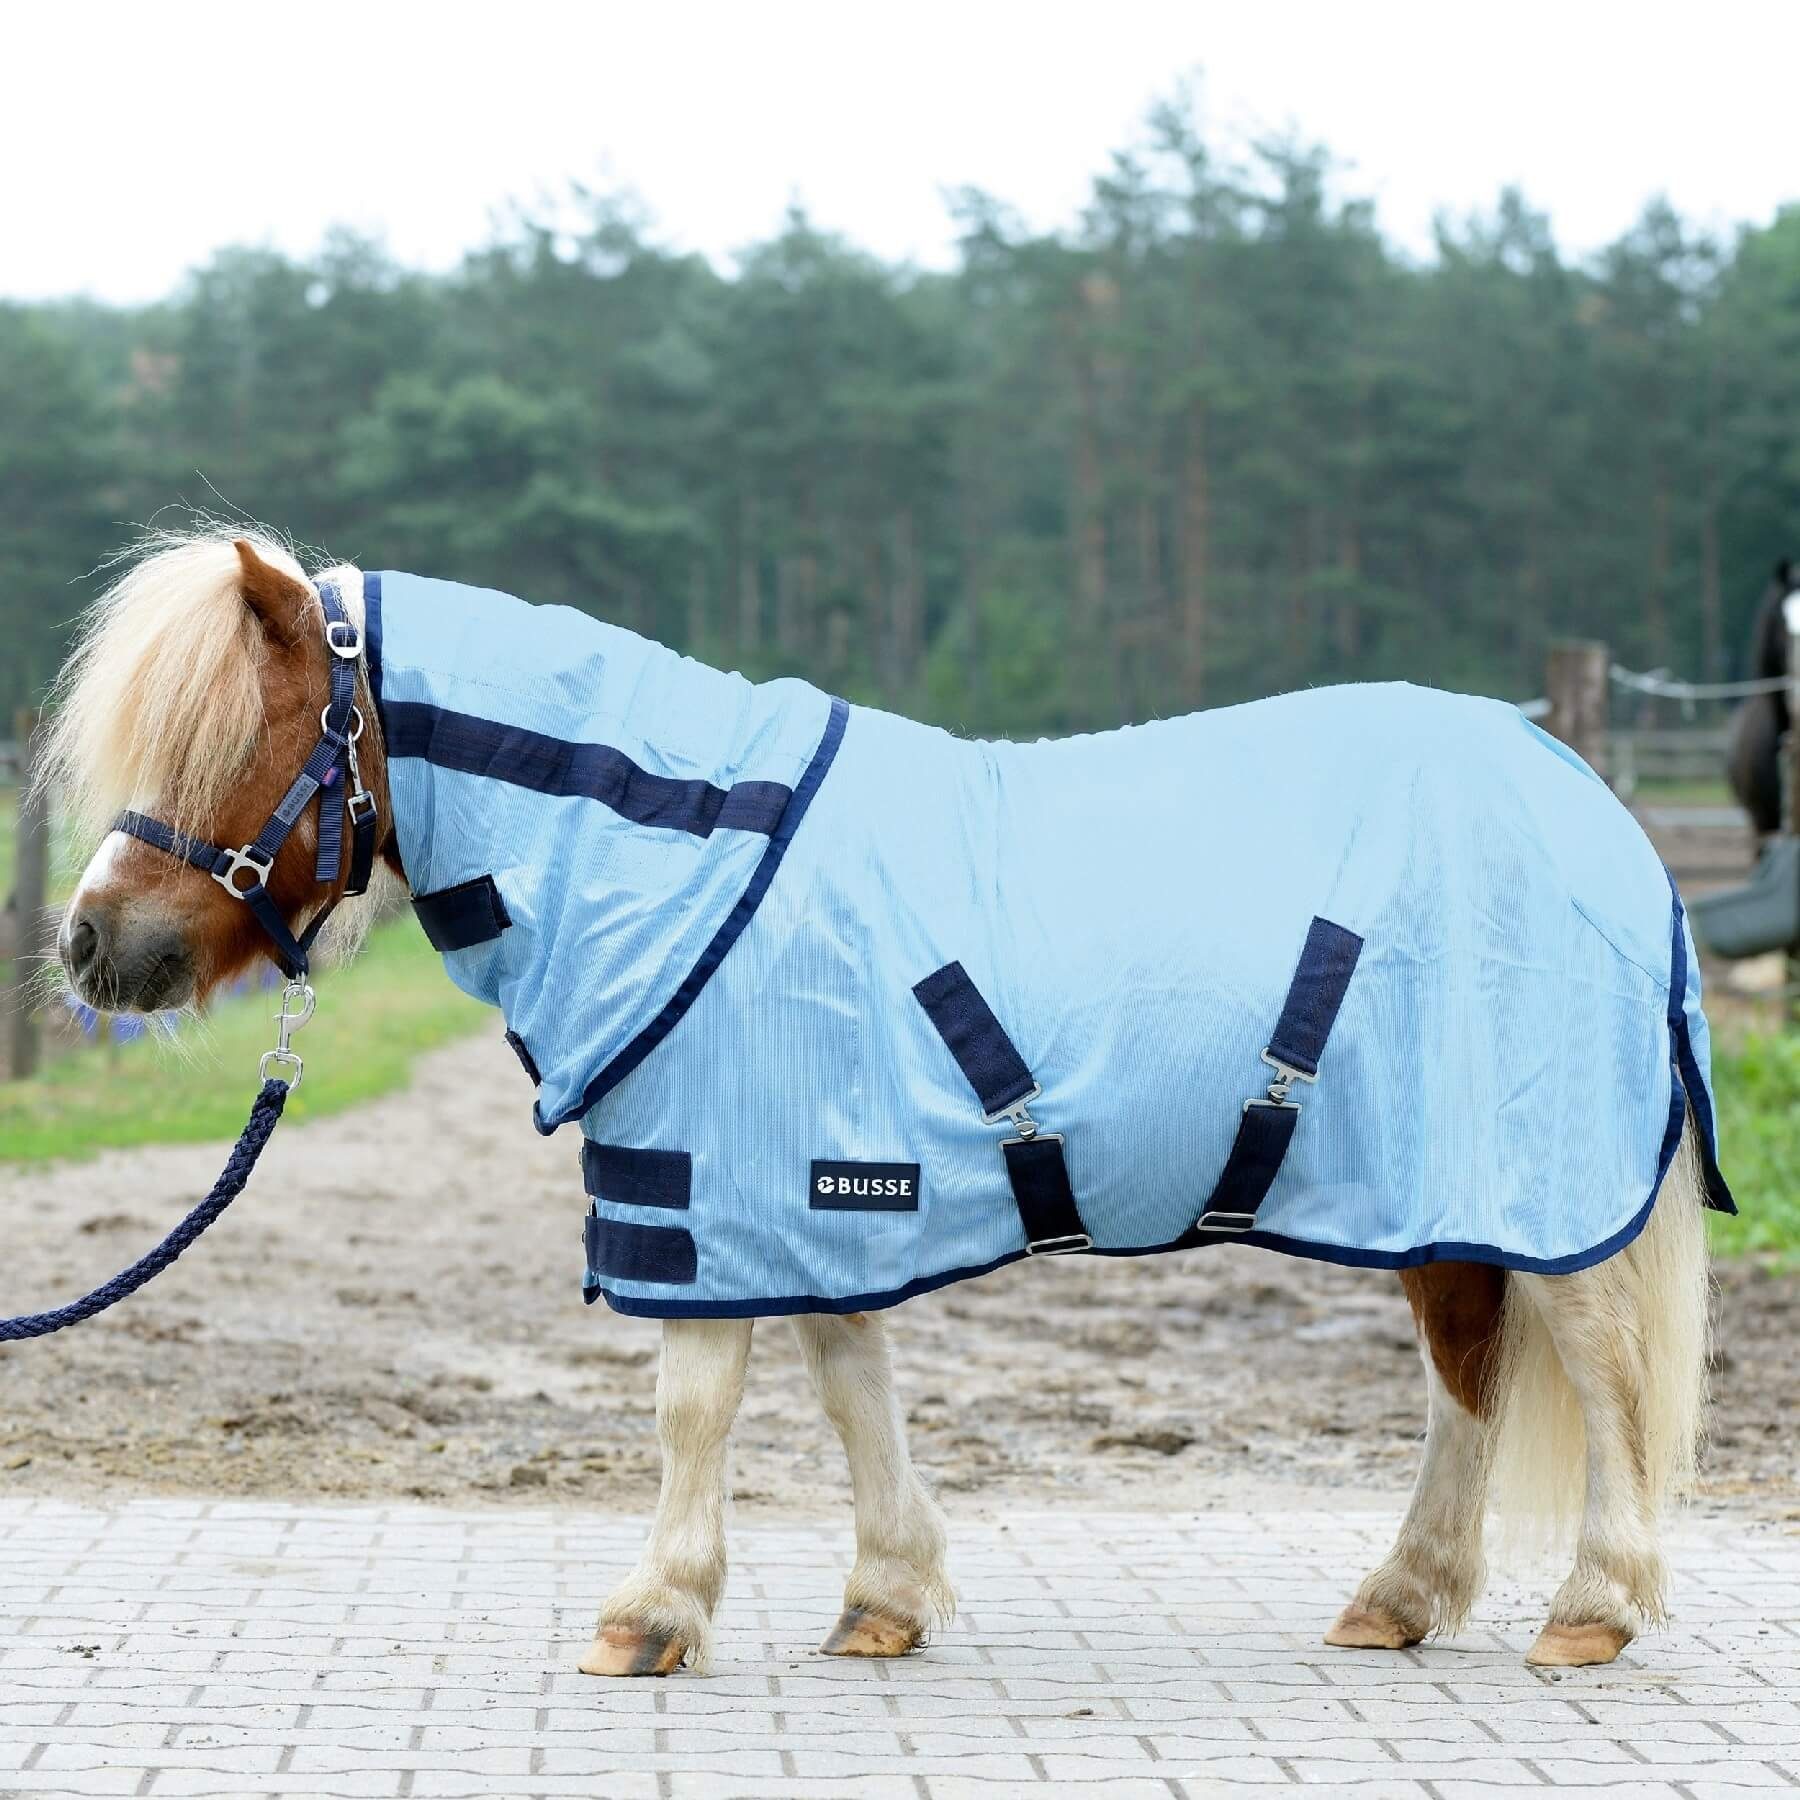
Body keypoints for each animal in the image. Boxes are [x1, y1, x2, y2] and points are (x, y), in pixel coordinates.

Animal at [41, 527, 1729, 1677]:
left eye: (235, 736)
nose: (90, 945)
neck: (684, 857)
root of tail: (1598, 814)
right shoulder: (803, 1183)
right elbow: (852, 1378)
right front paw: (886, 1600)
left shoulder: (705, 1182)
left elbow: (696, 1403)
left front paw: (651, 1615)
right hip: (1443, 1187)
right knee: (1470, 1369)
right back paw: (1401, 1599)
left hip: (1535, 1172)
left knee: (1594, 1363)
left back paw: (1592, 1607)